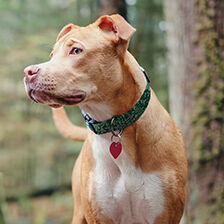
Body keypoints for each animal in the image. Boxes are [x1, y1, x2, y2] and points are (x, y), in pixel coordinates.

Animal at [23, 14, 187, 223]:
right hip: (79, 213)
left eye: (76, 50)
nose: (28, 72)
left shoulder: (164, 214)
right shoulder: (98, 214)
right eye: (52, 55)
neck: (114, 125)